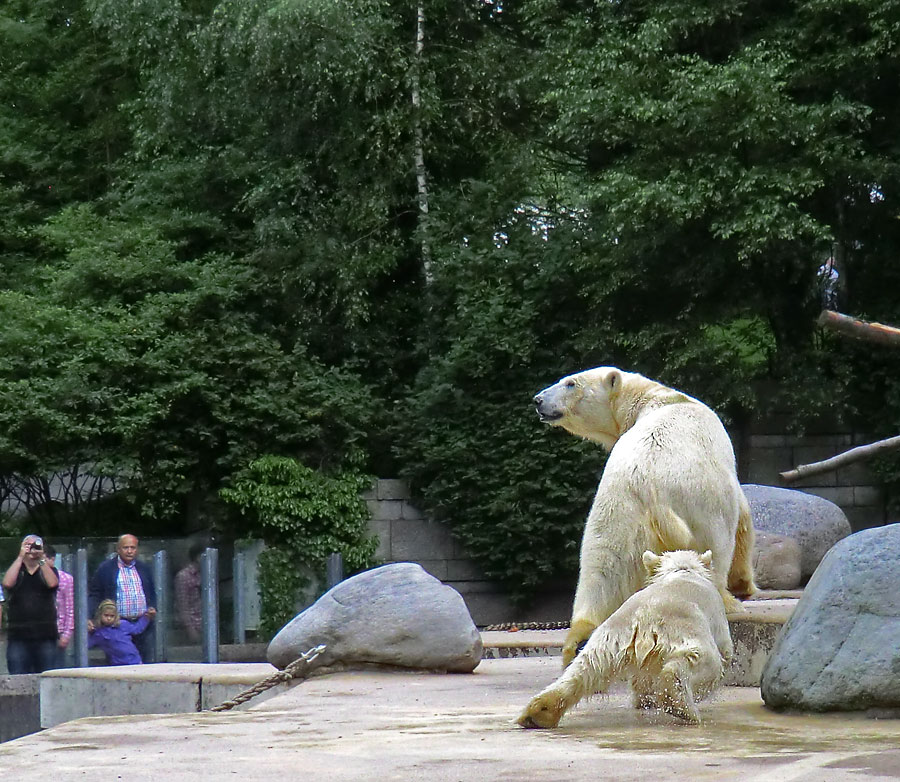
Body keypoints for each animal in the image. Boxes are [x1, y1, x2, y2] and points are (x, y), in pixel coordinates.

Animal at [536, 368, 756, 668]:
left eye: (570, 383)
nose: (538, 400)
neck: (655, 397)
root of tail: (651, 486)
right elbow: (743, 518)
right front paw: (744, 585)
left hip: (617, 509)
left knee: (601, 568)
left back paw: (578, 639)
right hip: (703, 502)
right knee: (719, 543)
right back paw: (727, 599)